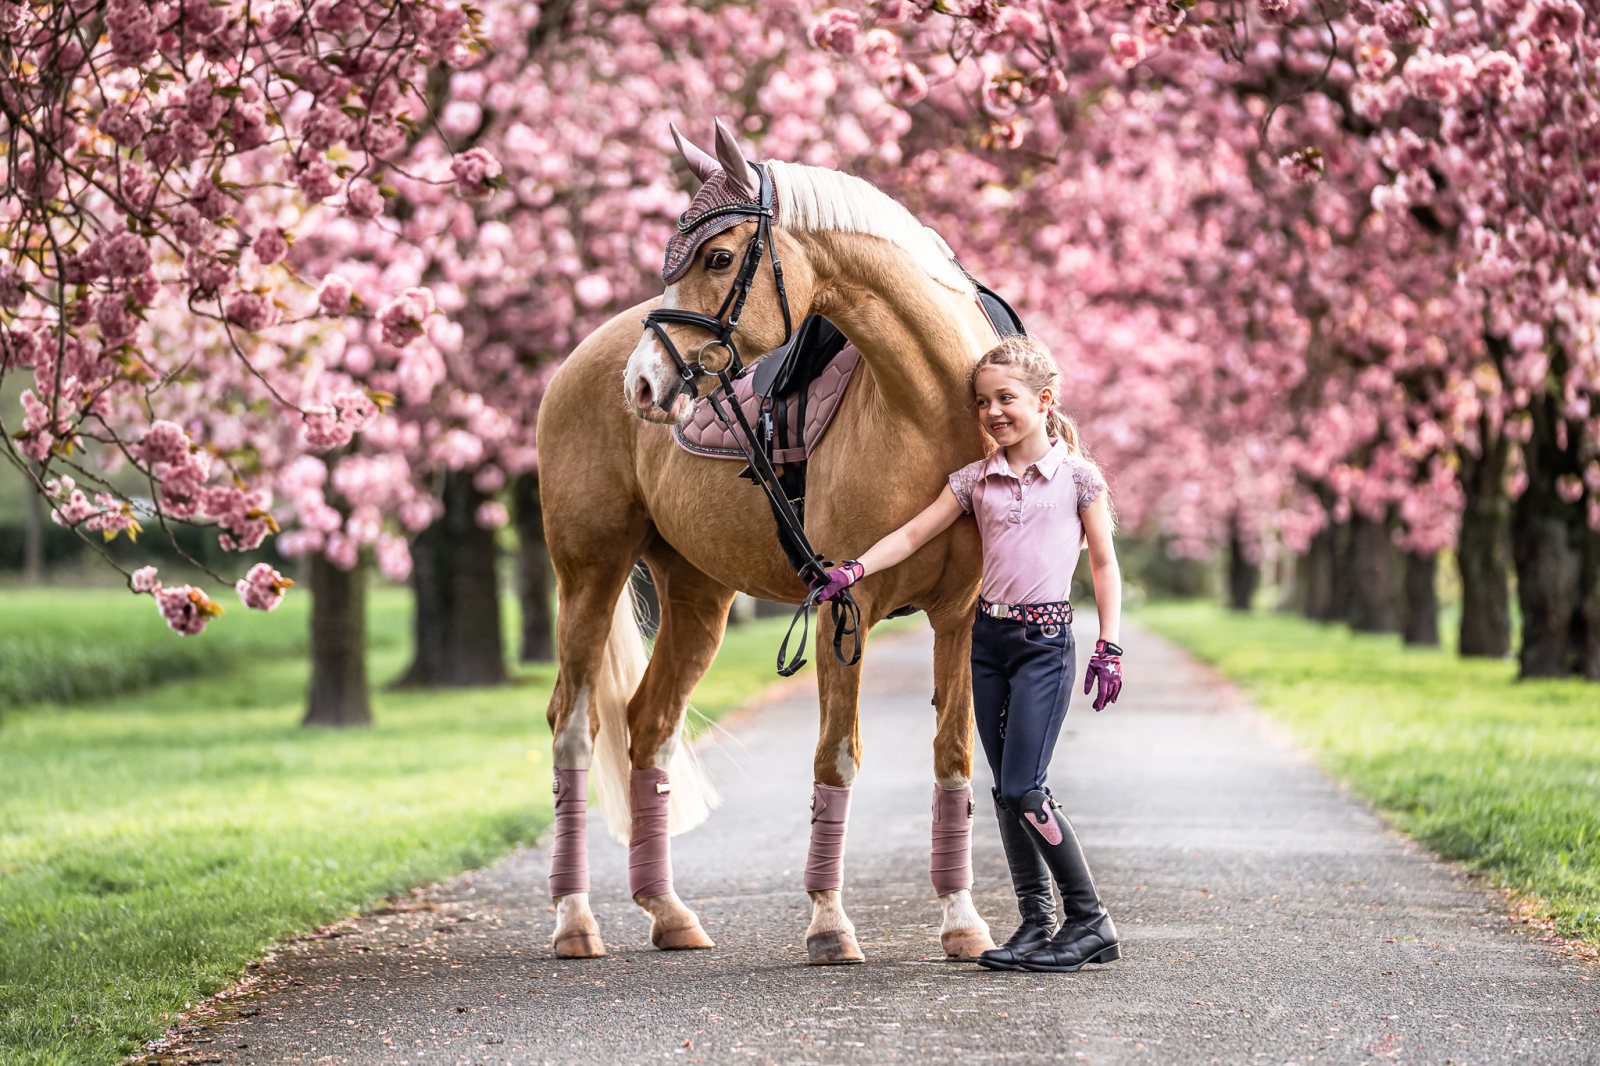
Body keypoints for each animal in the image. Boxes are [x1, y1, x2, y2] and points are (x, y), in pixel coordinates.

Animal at [536, 119, 1005, 964]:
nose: (643, 384)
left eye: (718, 258)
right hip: (589, 576)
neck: (933, 413)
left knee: (650, 725)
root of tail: (585, 360)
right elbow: (836, 758)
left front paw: (961, 921)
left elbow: (953, 755)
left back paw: (668, 913)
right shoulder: (844, 610)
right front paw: (828, 924)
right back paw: (574, 921)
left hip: (698, 596)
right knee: (573, 728)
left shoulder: (958, 615)